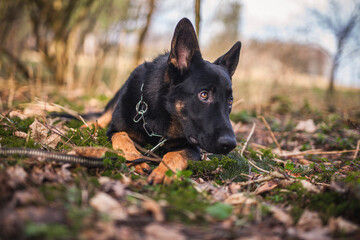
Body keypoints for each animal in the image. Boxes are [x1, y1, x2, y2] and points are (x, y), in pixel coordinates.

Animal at [93, 18, 242, 184]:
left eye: (230, 101)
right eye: (204, 95)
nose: (230, 144)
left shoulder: (192, 148)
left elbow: (175, 154)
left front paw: (166, 171)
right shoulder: (114, 130)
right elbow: (123, 137)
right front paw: (136, 157)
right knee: (101, 118)